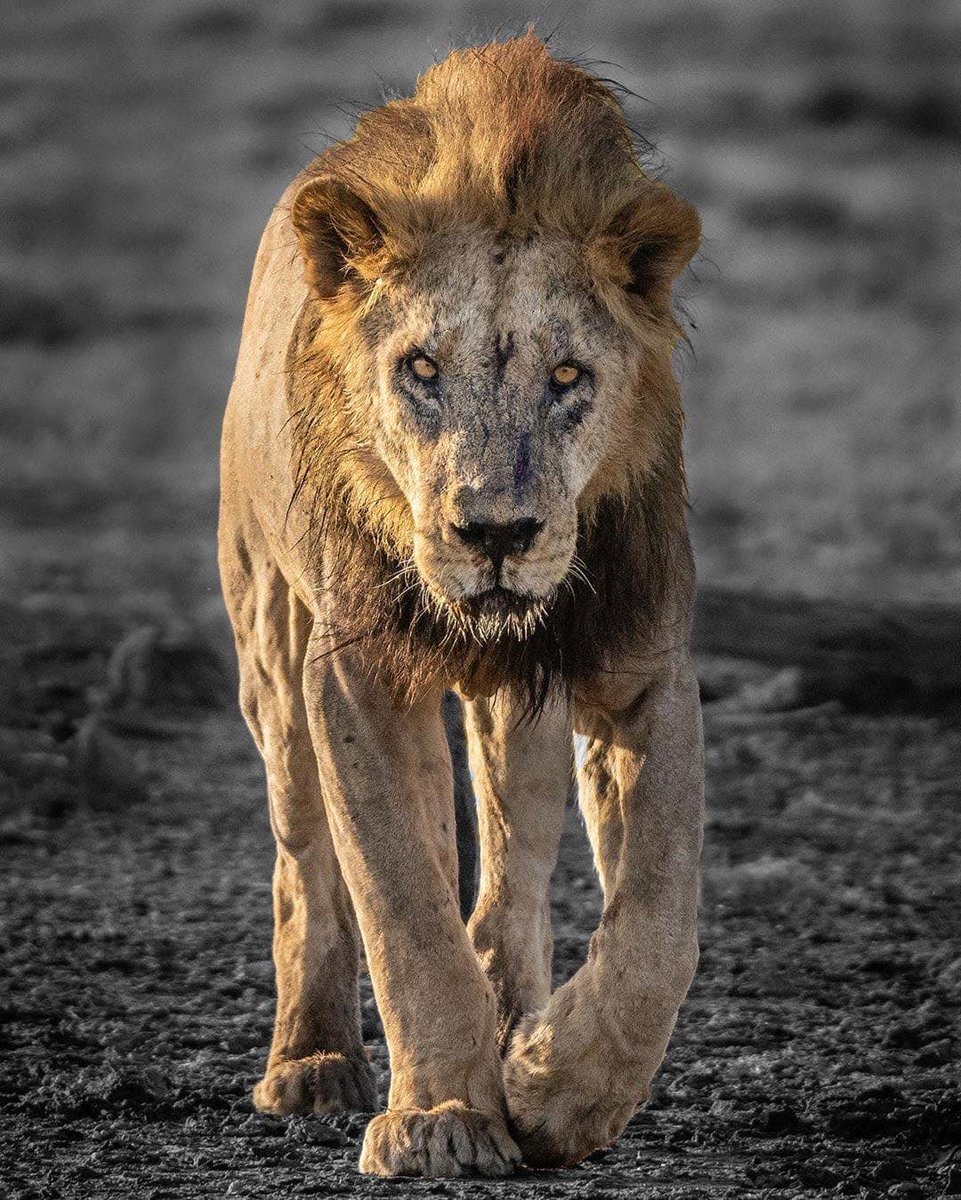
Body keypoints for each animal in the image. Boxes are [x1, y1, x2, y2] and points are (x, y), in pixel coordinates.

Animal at [218, 33, 704, 1178]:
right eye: (421, 368)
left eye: (567, 374)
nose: (494, 534)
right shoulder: (352, 674)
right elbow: (401, 904)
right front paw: (442, 1118)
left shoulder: (642, 666)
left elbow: (660, 918)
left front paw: (558, 1089)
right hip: (269, 638)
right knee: (309, 862)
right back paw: (313, 1063)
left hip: (517, 705)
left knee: (511, 861)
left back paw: (516, 1016)